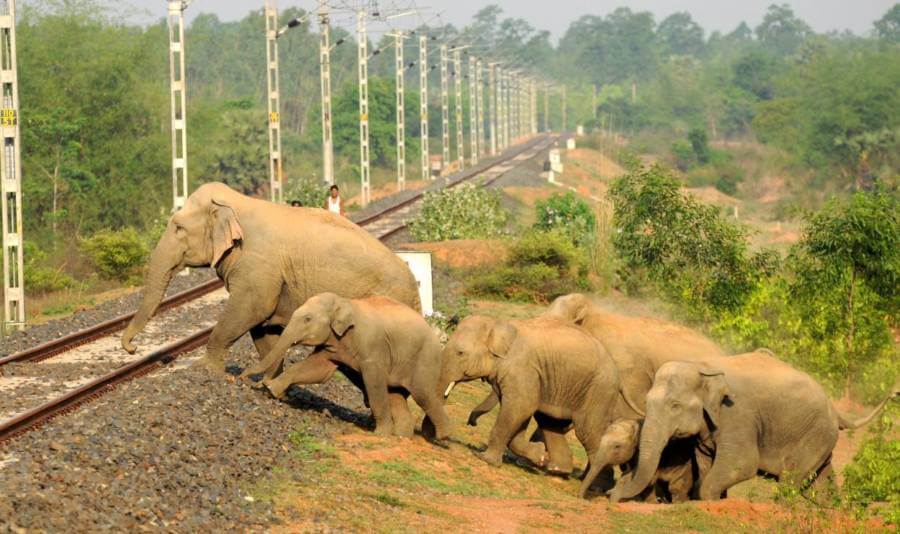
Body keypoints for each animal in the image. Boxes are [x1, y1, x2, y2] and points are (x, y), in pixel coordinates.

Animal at [118, 182, 422, 374]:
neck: (236, 202)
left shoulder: (258, 264)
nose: (132, 349)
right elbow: (263, 324)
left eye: (178, 228)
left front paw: (204, 370)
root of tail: (413, 284)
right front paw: (269, 379)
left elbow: (251, 308)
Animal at [255, 294, 454, 444]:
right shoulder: (334, 345)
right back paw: (401, 436)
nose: (258, 383)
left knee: (423, 395)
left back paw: (442, 437)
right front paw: (271, 390)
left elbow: (374, 382)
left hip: (425, 360)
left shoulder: (373, 348)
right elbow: (317, 370)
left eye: (307, 319)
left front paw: (380, 434)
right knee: (395, 395)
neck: (344, 301)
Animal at [608, 352, 896, 502]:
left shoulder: (738, 415)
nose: (613, 491)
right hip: (822, 440)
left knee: (791, 480)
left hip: (814, 435)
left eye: (675, 406)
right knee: (822, 484)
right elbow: (706, 464)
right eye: (647, 402)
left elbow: (741, 464)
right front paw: (718, 502)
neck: (702, 366)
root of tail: (835, 410)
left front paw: (711, 500)